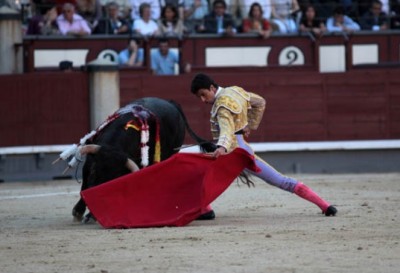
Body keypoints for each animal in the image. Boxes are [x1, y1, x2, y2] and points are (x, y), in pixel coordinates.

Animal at [71, 96, 216, 220]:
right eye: (94, 172)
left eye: (113, 178)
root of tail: (171, 102)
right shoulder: (89, 162)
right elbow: (84, 185)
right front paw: (79, 211)